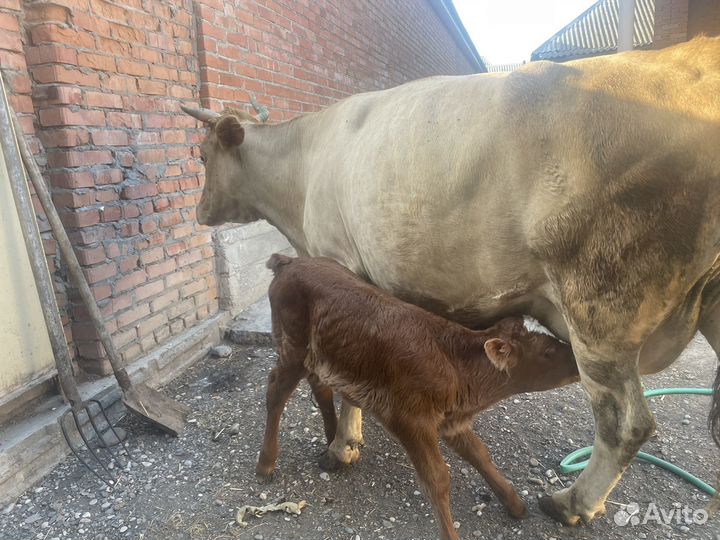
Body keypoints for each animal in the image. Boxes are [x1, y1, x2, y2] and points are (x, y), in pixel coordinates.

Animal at [258, 254, 579, 540]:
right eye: (548, 351)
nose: (578, 362)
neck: (457, 367)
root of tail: (292, 261)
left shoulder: (452, 420)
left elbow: (480, 455)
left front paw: (514, 503)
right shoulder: (409, 419)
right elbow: (438, 478)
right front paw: (450, 534)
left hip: (321, 355)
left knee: (320, 388)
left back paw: (331, 440)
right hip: (292, 345)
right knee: (276, 390)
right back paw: (266, 463)